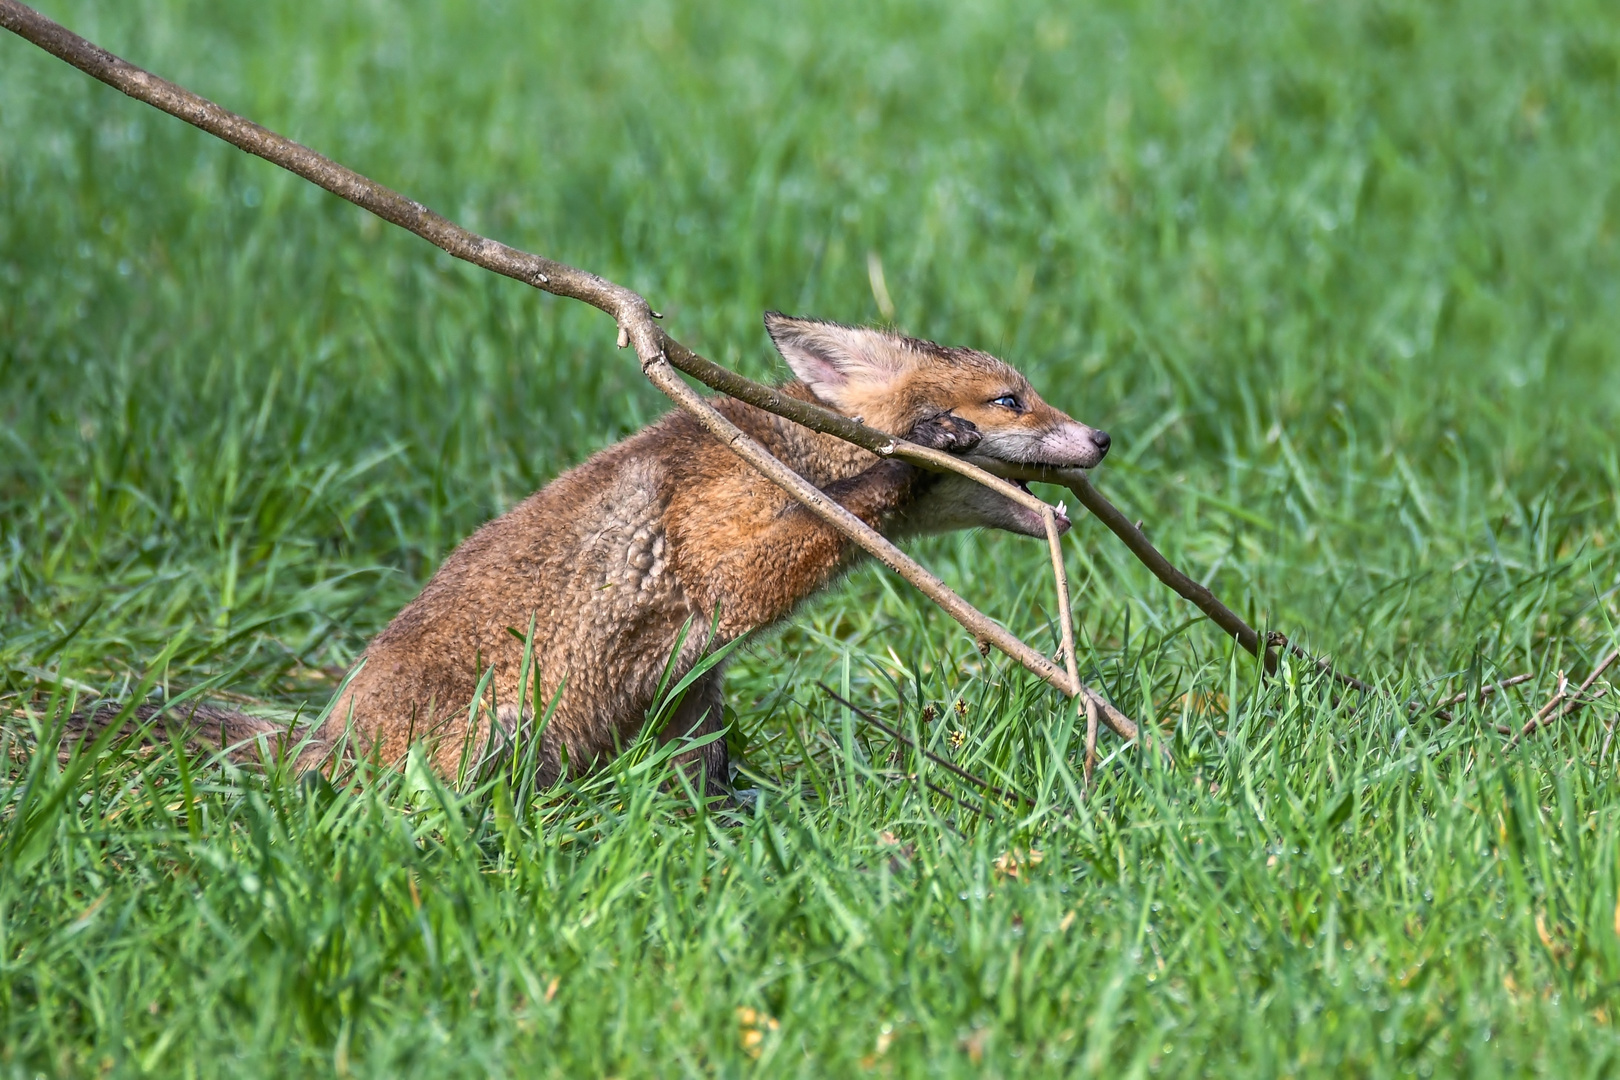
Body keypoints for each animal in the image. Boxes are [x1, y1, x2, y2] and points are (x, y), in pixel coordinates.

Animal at [78, 312, 1114, 793]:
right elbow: (846, 506)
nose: (1103, 438)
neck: (787, 447)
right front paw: (915, 454)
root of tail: (321, 744)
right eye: (1012, 400)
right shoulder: (727, 572)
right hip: (499, 733)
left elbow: (707, 769)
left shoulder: (691, 681)